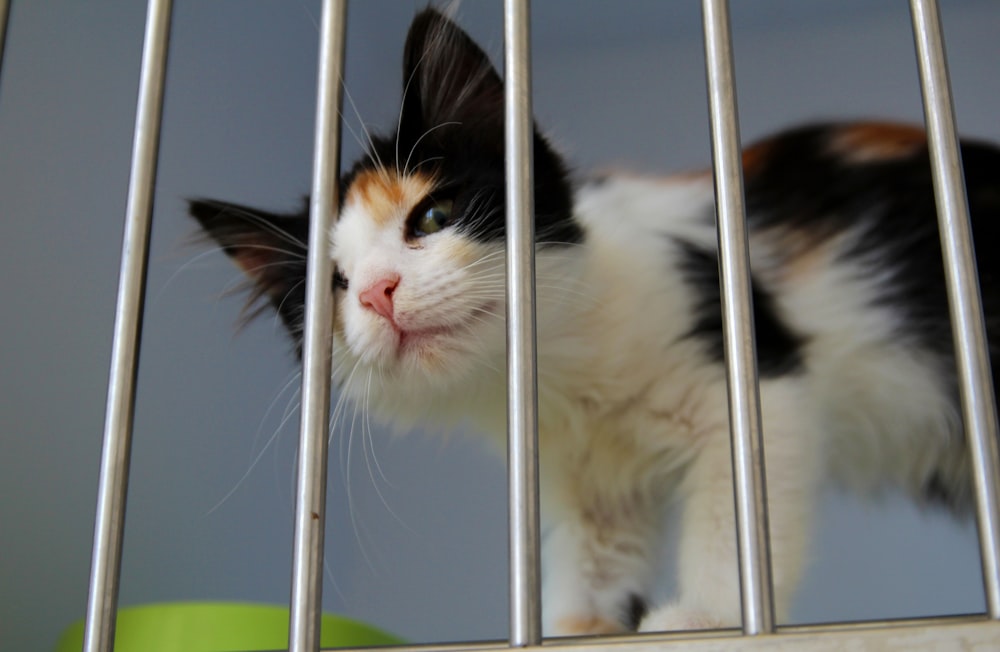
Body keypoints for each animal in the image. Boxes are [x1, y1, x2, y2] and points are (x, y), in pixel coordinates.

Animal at [189, 5, 1000, 636]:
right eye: (333, 286)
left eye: (434, 216)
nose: (379, 293)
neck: (559, 369)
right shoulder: (593, 485)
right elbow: (592, 558)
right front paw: (577, 626)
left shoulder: (749, 376)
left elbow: (734, 514)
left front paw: (706, 616)